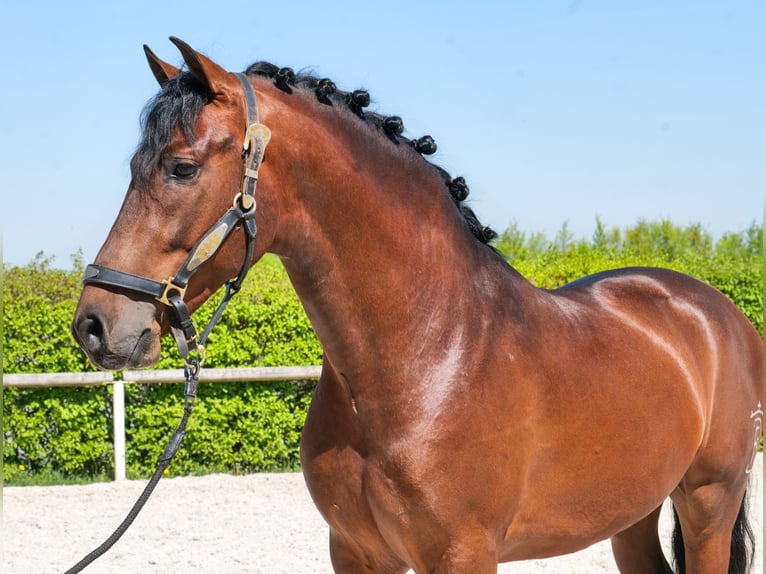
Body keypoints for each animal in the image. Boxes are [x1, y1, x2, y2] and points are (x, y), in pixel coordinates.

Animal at [72, 38, 762, 573]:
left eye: (182, 168)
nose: (96, 326)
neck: (428, 357)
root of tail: (714, 311)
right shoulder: (356, 551)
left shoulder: (462, 554)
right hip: (633, 513)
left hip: (708, 502)